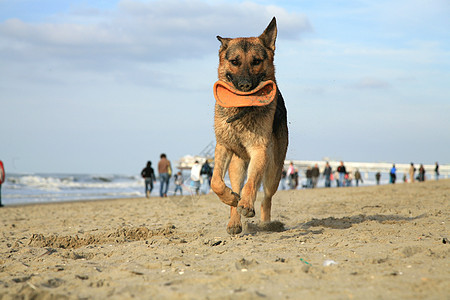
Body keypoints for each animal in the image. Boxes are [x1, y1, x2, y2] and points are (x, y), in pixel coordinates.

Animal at [211, 17, 288, 236]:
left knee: (266, 198)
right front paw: (231, 198)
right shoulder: (223, 147)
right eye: (235, 62)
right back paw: (234, 219)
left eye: (256, 61)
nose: (245, 85)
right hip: (237, 166)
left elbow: (252, 182)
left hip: (273, 171)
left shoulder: (259, 151)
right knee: (236, 186)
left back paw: (266, 223)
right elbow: (215, 182)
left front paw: (246, 203)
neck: (241, 111)